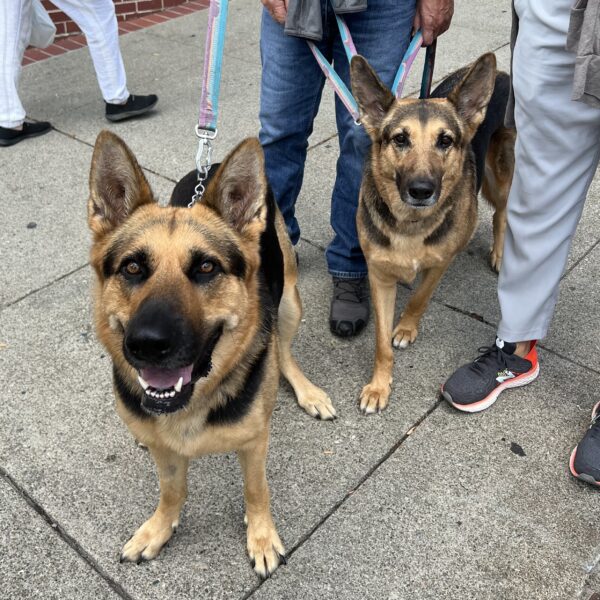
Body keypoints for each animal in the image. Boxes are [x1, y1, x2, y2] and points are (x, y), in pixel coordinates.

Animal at [86, 130, 336, 576]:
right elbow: (171, 491)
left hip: (289, 302)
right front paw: (160, 528)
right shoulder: (167, 455)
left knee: (283, 351)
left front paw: (261, 536)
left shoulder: (254, 444)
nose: (147, 344)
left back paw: (306, 390)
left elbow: (256, 491)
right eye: (132, 268)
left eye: (206, 268)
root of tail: (213, 164)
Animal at [352, 52, 516, 412]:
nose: (421, 190)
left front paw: (406, 328)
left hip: (498, 177)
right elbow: (381, 343)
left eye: (445, 141)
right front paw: (379, 386)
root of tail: (501, 73)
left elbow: (419, 298)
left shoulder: (440, 263)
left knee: (503, 212)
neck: (411, 223)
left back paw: (499, 253)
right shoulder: (379, 276)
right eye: (400, 139)